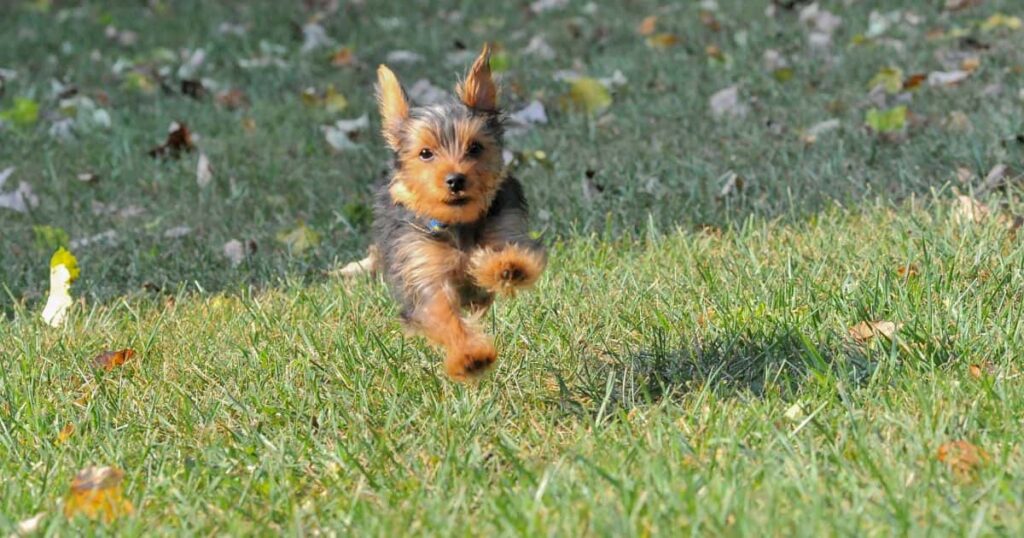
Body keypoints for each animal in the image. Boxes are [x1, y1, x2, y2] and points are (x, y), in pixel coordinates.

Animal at [350, 45, 544, 381]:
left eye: (475, 148)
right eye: (426, 153)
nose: (455, 180)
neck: (458, 223)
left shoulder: (504, 225)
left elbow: (504, 250)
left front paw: (507, 267)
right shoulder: (422, 268)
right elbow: (441, 312)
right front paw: (470, 356)